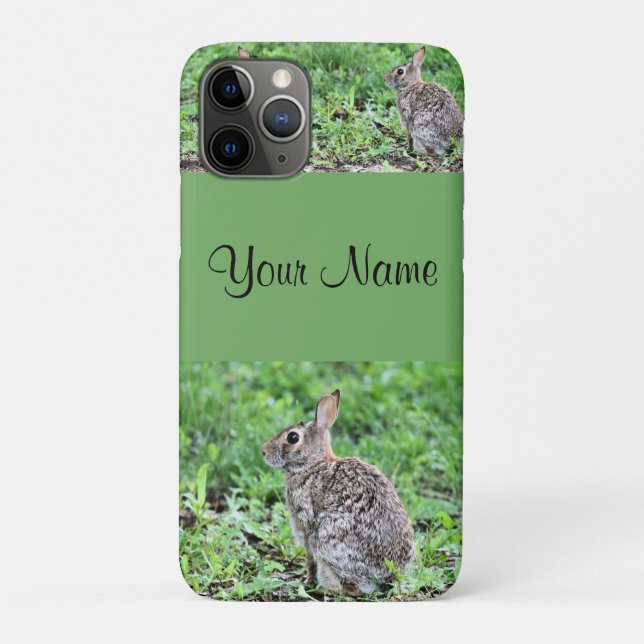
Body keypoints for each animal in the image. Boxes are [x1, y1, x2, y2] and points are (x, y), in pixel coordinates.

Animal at [262, 389, 414, 596]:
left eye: (292, 437)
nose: (263, 451)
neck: (313, 464)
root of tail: (387, 574)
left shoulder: (305, 524)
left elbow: (309, 558)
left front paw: (307, 579)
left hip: (330, 540)